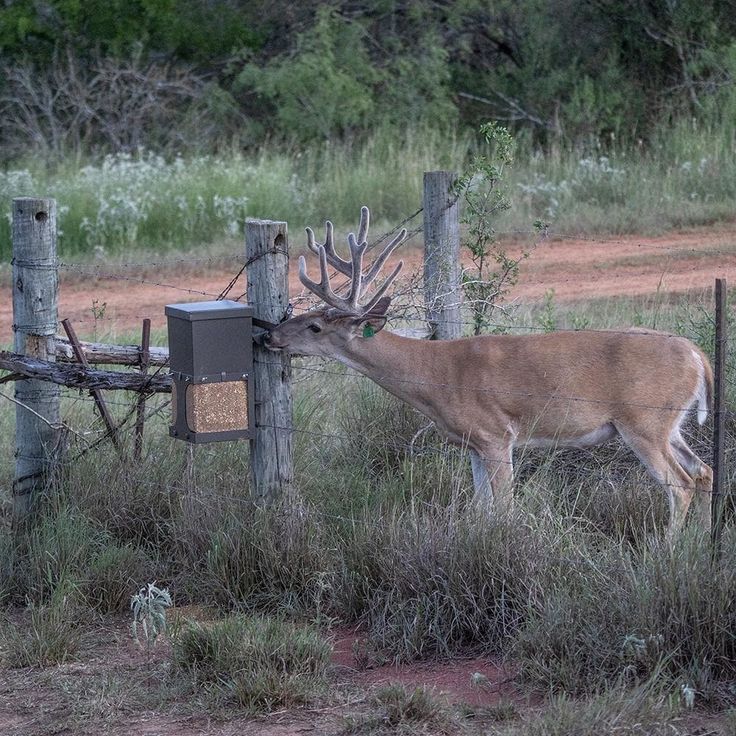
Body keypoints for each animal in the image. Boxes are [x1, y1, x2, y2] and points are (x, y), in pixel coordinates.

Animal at [264, 207, 712, 540]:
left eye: (314, 327)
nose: (270, 334)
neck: (435, 376)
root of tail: (697, 355)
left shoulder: (496, 434)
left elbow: (504, 510)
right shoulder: (474, 443)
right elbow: (480, 510)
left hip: (644, 420)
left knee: (680, 484)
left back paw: (666, 551)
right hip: (670, 425)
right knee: (703, 471)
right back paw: (700, 543)